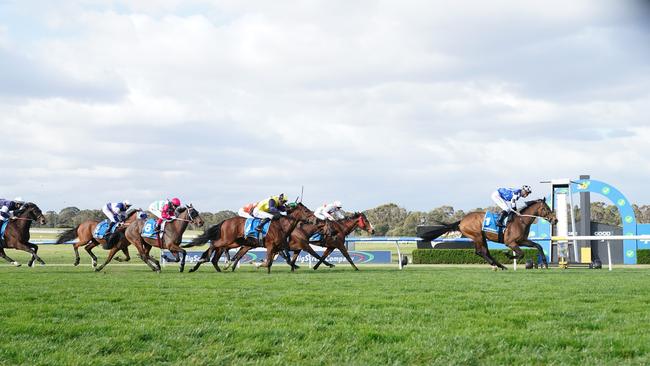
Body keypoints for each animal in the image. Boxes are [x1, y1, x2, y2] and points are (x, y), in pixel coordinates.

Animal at [422, 199, 556, 270]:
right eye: (546, 208)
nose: (555, 220)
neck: (521, 221)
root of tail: (462, 221)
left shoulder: (522, 241)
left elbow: (538, 246)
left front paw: (545, 263)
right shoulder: (510, 242)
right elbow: (521, 253)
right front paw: (508, 255)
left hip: (482, 237)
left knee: (485, 252)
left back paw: (500, 265)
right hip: (477, 236)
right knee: (480, 252)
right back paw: (497, 265)